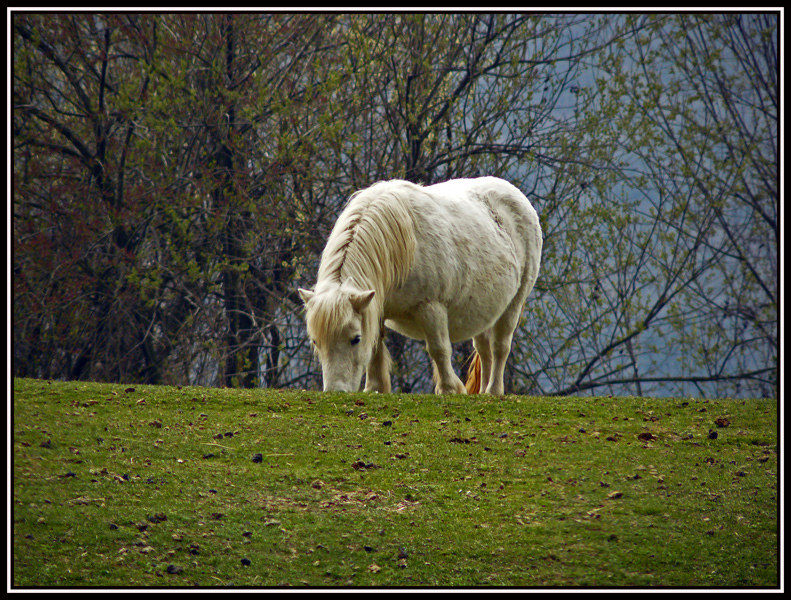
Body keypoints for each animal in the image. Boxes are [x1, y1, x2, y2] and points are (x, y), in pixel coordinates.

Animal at [298, 176, 542, 394]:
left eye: (355, 339)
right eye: (315, 341)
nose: (335, 391)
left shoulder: (430, 307)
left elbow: (439, 348)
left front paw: (449, 389)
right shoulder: (375, 307)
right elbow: (375, 346)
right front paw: (375, 388)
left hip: (514, 302)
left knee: (500, 346)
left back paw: (493, 391)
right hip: (484, 309)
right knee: (484, 350)